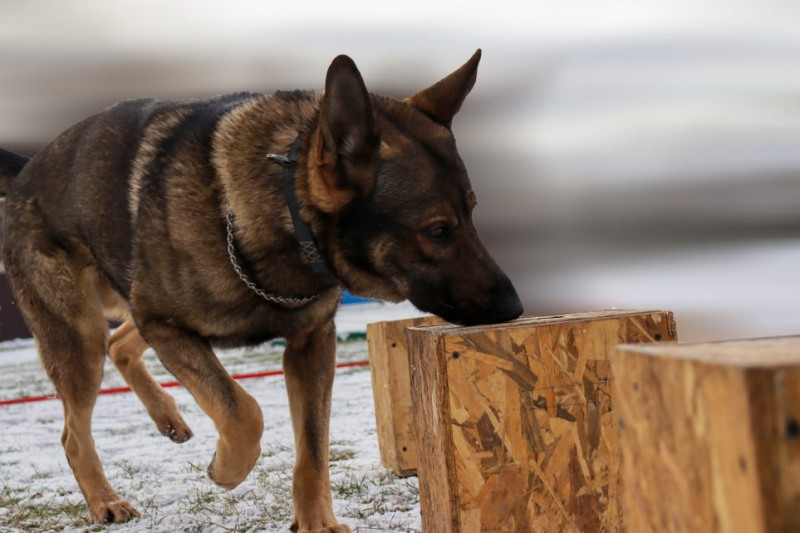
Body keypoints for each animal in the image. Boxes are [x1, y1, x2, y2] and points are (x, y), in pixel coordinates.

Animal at [0, 48, 520, 528]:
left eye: (472, 212)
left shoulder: (311, 345)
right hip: (78, 334)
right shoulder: (166, 325)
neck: (281, 215)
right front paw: (226, 469)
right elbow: (242, 410)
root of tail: (29, 167)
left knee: (121, 344)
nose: (514, 309)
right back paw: (105, 500)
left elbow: (312, 448)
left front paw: (317, 523)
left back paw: (168, 418)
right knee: (75, 427)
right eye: (437, 230)